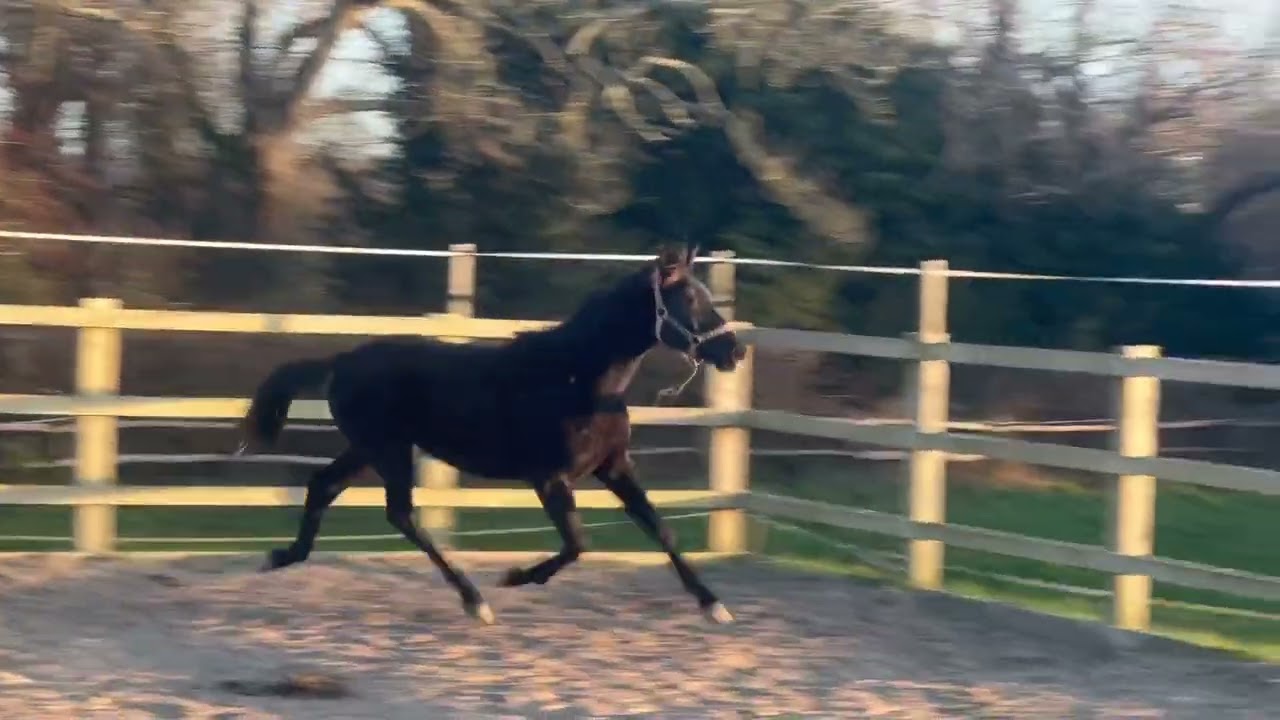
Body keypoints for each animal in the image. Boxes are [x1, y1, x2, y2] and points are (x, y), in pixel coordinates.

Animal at [236, 244, 746, 625]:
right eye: (690, 300)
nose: (734, 350)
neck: (576, 379)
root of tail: (341, 361)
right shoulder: (549, 478)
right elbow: (578, 542)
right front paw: (515, 577)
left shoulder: (614, 467)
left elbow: (660, 528)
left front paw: (713, 605)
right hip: (387, 449)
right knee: (399, 513)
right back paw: (475, 600)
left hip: (368, 449)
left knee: (324, 486)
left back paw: (281, 556)